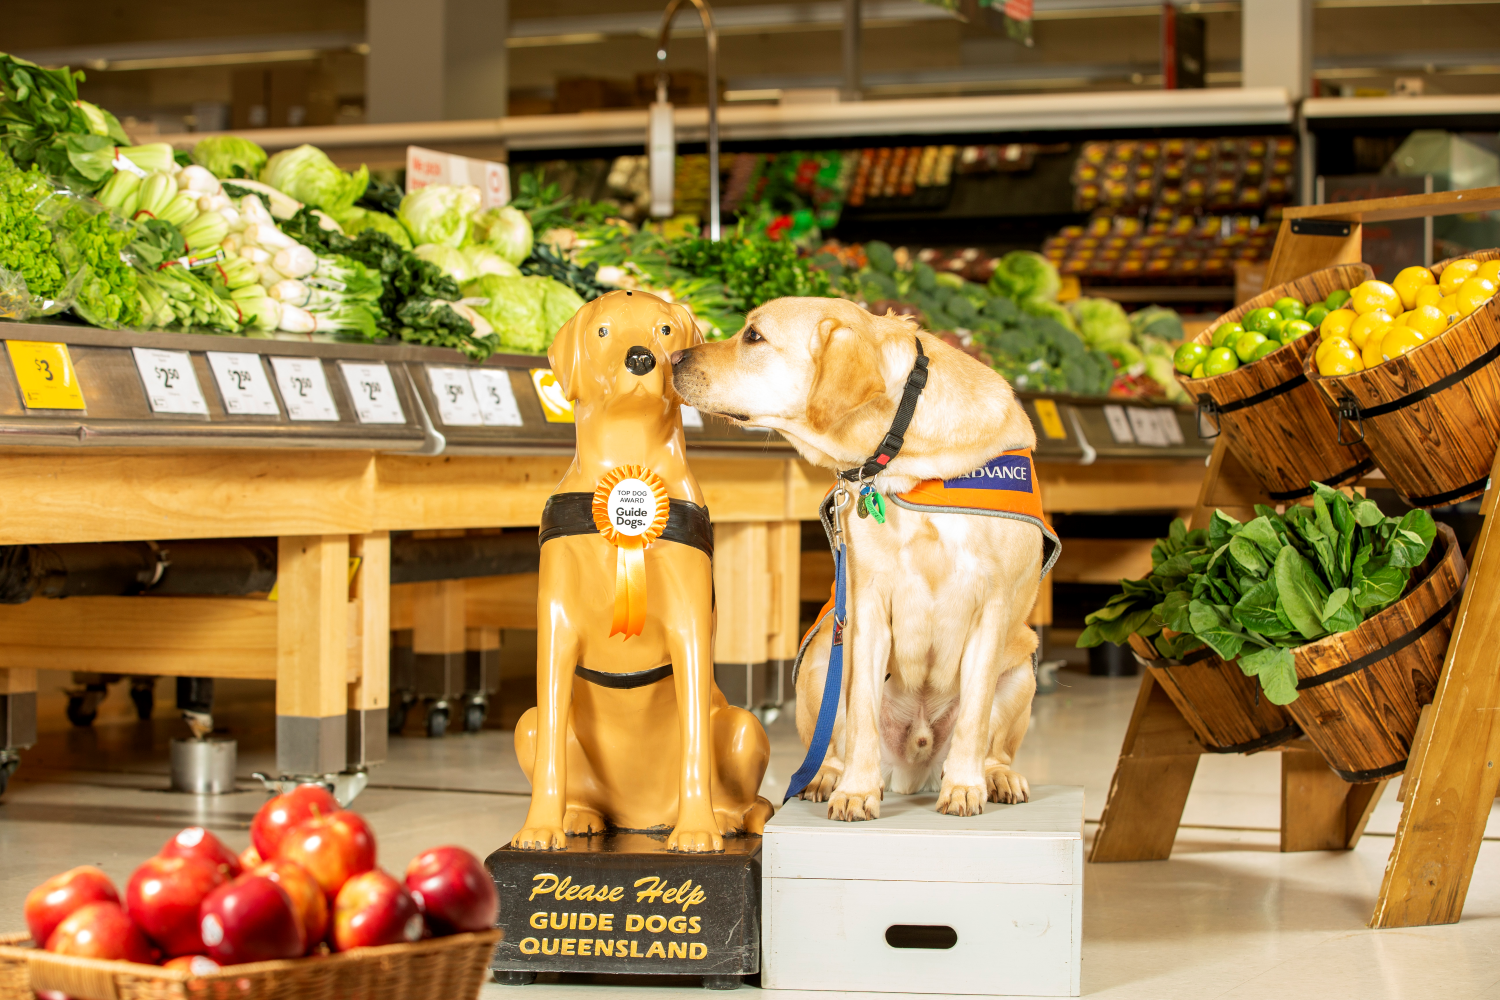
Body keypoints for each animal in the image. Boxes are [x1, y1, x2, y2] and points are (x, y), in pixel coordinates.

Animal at [675, 299, 1050, 821]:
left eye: (753, 336)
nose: (672, 358)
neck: (906, 456)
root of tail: (914, 766)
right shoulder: (867, 604)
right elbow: (862, 716)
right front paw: (855, 790)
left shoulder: (991, 610)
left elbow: (975, 717)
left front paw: (964, 786)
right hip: (820, 650)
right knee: (834, 736)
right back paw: (826, 776)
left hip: (1021, 664)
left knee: (994, 744)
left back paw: (995, 777)